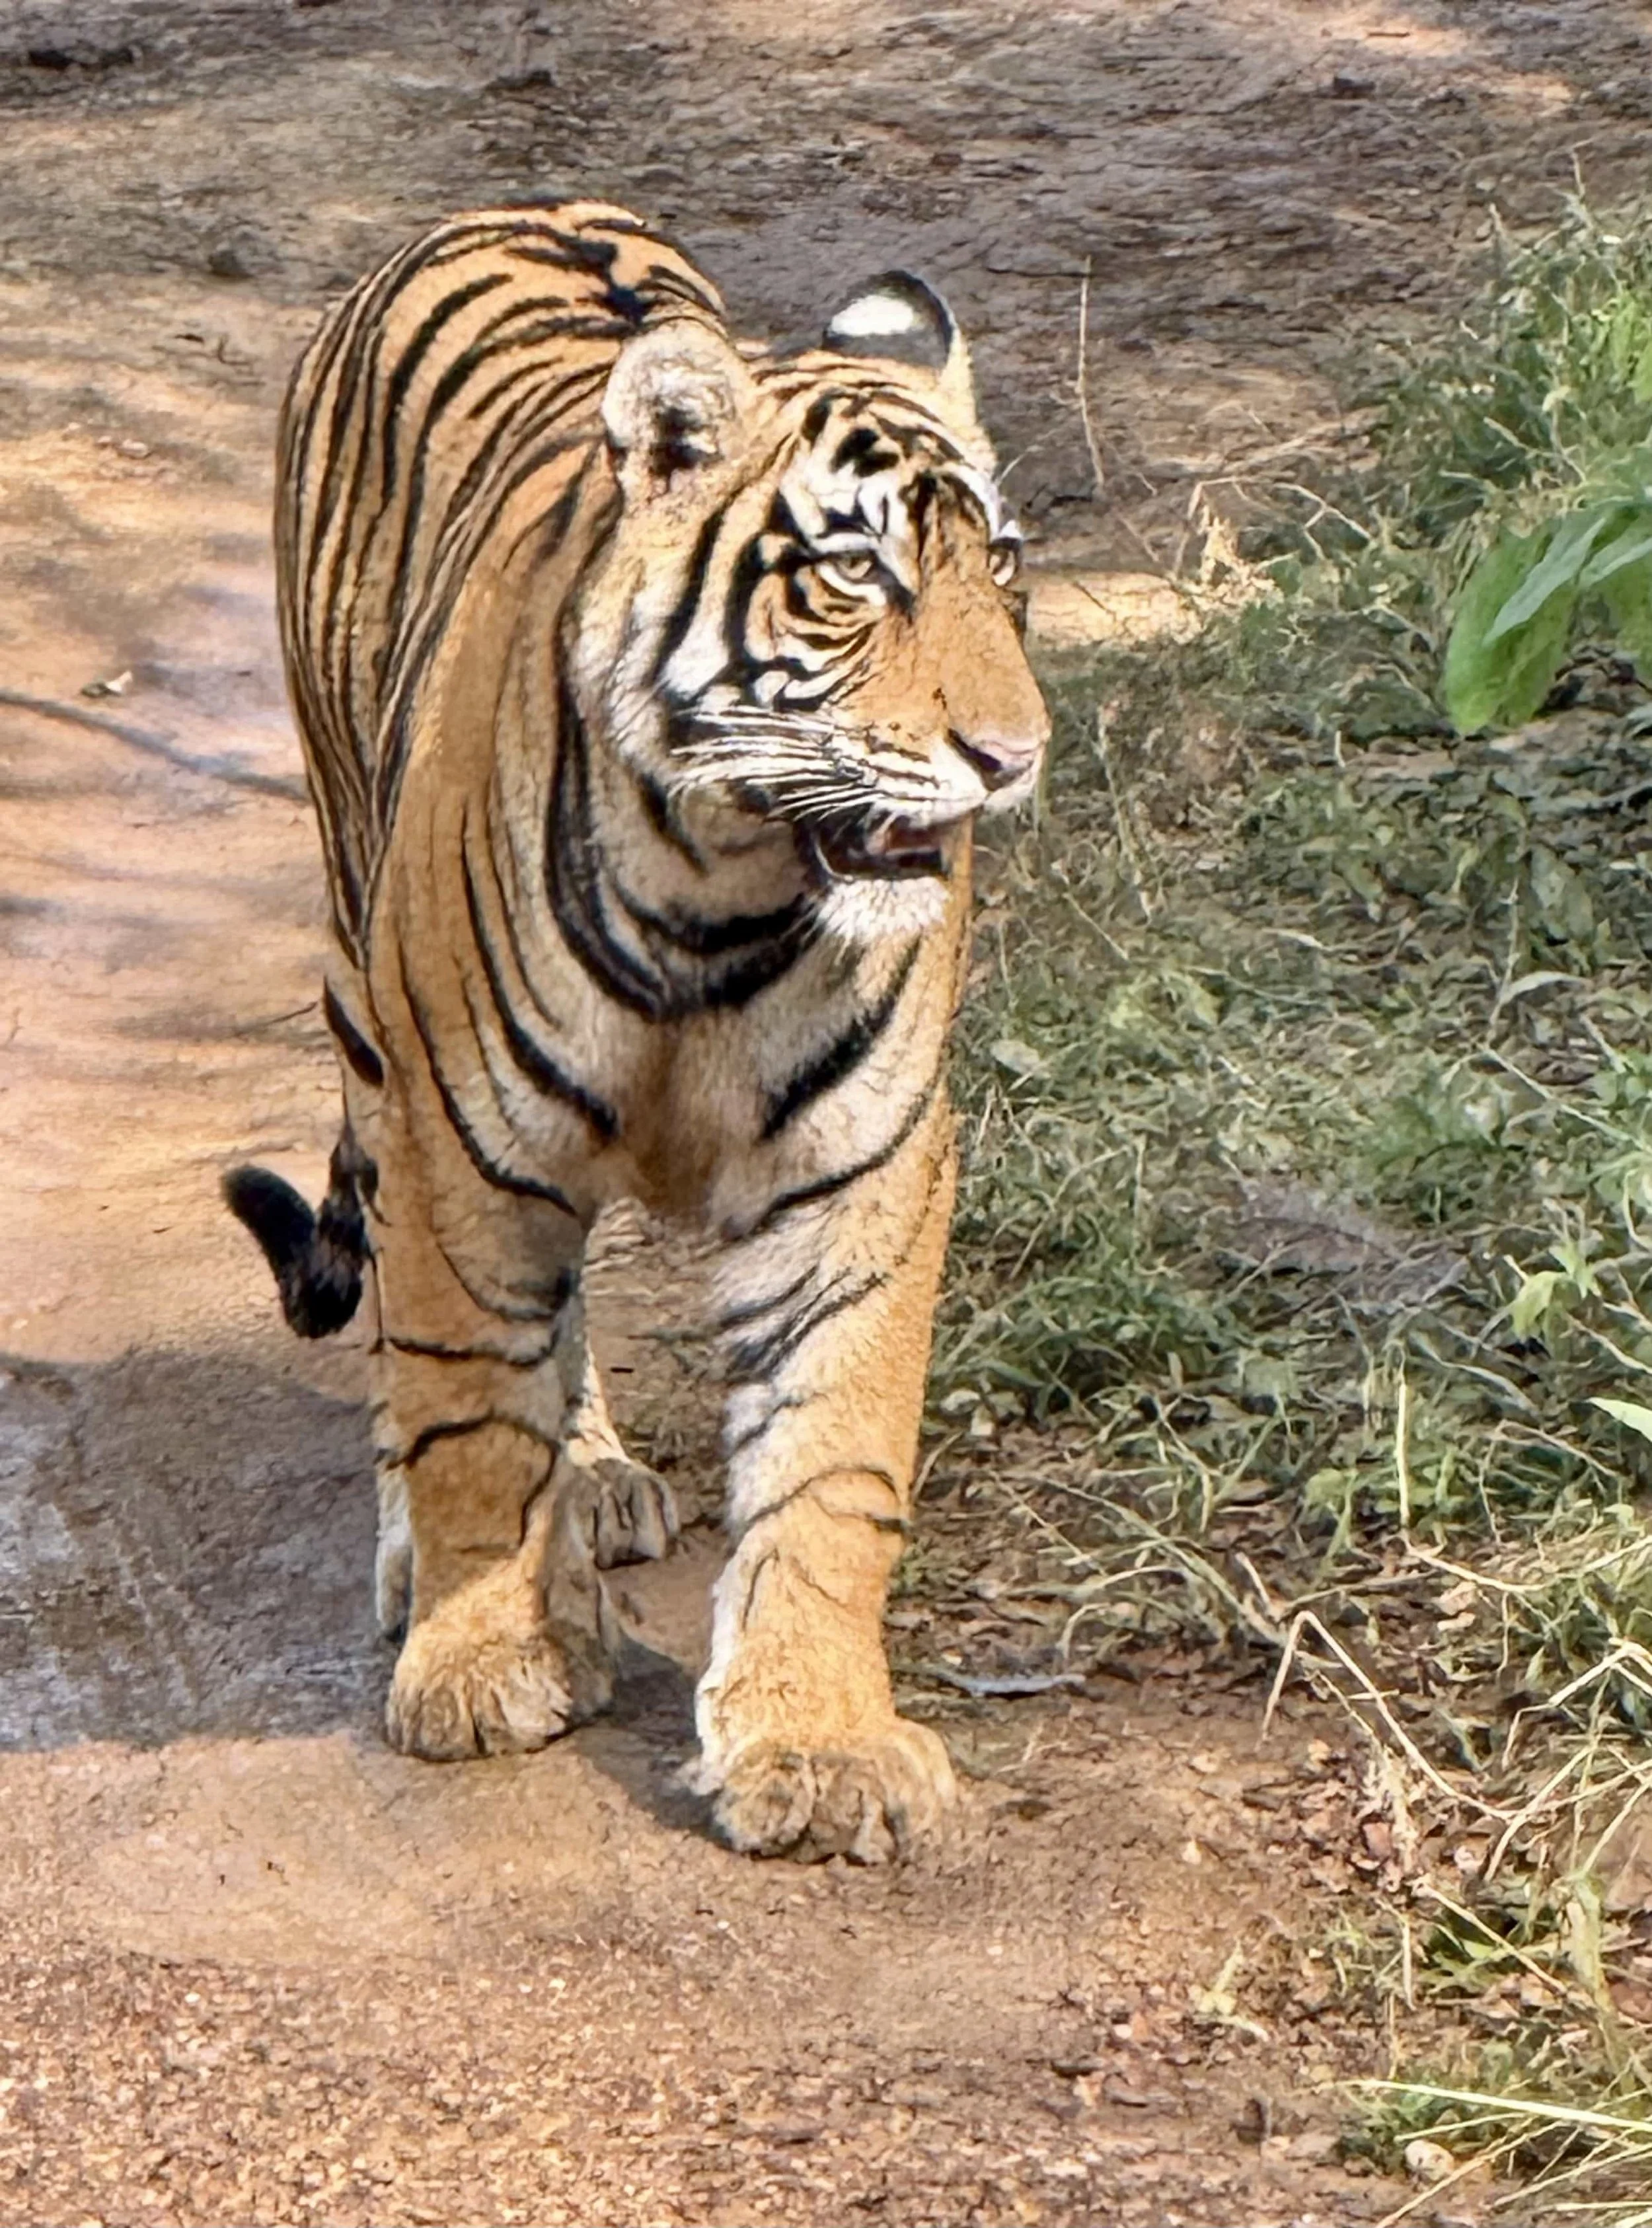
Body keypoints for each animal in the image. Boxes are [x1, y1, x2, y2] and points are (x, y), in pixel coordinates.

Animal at [225, 202, 1049, 1863]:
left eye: (996, 560)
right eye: (854, 572)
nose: (1013, 756)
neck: (720, 892)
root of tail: (492, 208)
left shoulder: (861, 1169)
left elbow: (831, 1454)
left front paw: (815, 1742)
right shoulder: (460, 1141)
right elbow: (469, 1409)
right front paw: (483, 1665)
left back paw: (598, 1482)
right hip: (364, 985)